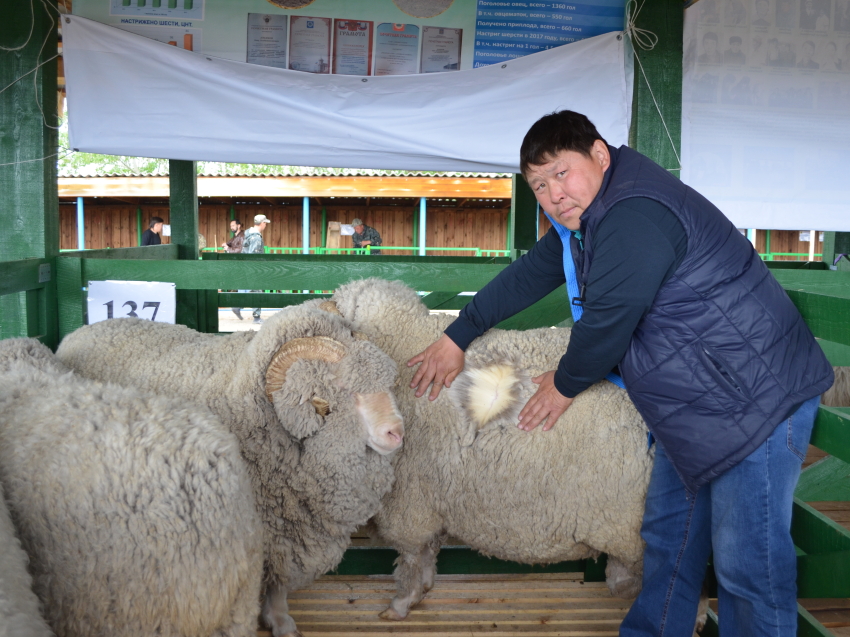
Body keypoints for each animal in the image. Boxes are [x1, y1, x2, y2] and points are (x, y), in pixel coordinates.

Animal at [56, 304, 404, 636]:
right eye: (342, 386)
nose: (396, 433)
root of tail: (82, 330)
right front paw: (276, 621)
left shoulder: (288, 532)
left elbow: (278, 583)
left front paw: (281, 620)